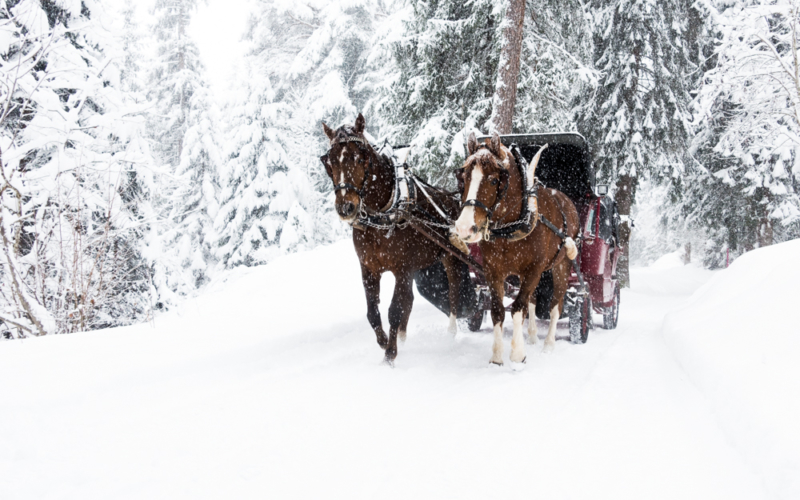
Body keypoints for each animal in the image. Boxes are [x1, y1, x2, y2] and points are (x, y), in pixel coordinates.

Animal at [322, 112, 466, 364]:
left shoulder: (402, 268)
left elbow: (395, 309)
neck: (383, 214)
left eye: (360, 157)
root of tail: (453, 199)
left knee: (454, 292)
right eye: (329, 162)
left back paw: (450, 332)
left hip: (451, 258)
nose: (346, 207)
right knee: (411, 299)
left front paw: (390, 353)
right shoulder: (368, 268)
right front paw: (384, 342)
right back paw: (402, 336)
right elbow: (373, 312)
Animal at [454, 131, 580, 366]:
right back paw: (531, 335)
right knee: (533, 301)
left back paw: (548, 344)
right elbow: (499, 310)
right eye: (464, 178)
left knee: (556, 304)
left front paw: (517, 354)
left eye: (494, 180)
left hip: (562, 265)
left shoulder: (534, 270)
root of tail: (565, 199)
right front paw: (497, 356)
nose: (464, 227)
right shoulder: (493, 271)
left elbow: (518, 308)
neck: (512, 225)